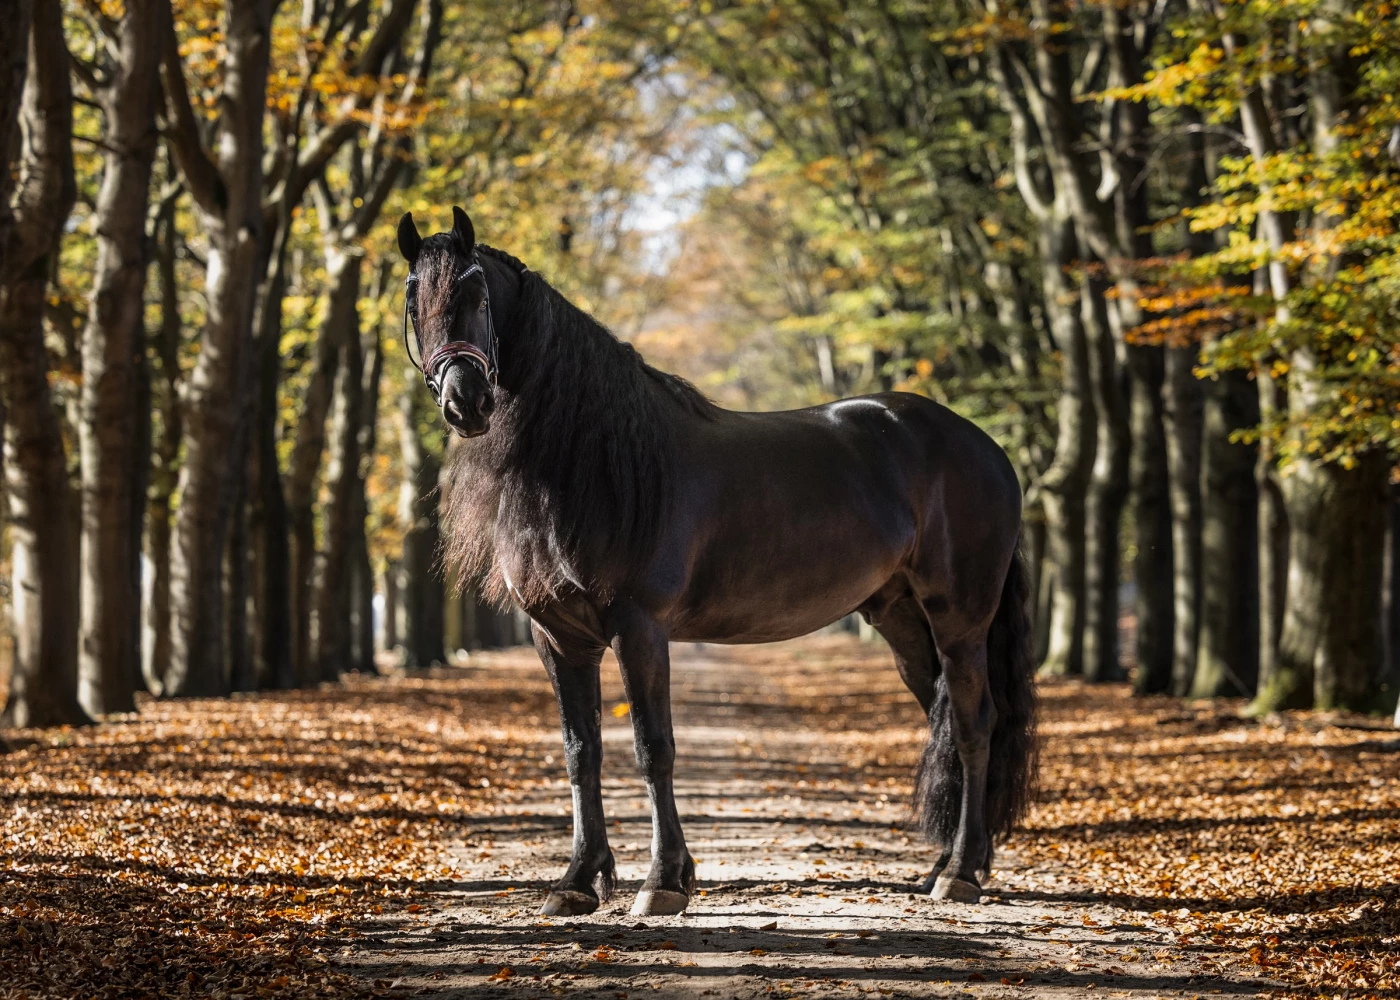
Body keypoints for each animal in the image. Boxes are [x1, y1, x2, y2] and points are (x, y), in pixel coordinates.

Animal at [400, 205, 1036, 913]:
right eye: (412, 300)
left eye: (477, 291)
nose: (466, 401)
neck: (594, 461)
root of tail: (987, 448)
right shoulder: (558, 638)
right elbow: (580, 751)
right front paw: (578, 881)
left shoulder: (639, 628)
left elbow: (653, 748)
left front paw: (663, 881)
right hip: (901, 618)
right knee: (944, 718)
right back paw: (947, 866)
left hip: (960, 617)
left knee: (976, 724)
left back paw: (961, 874)